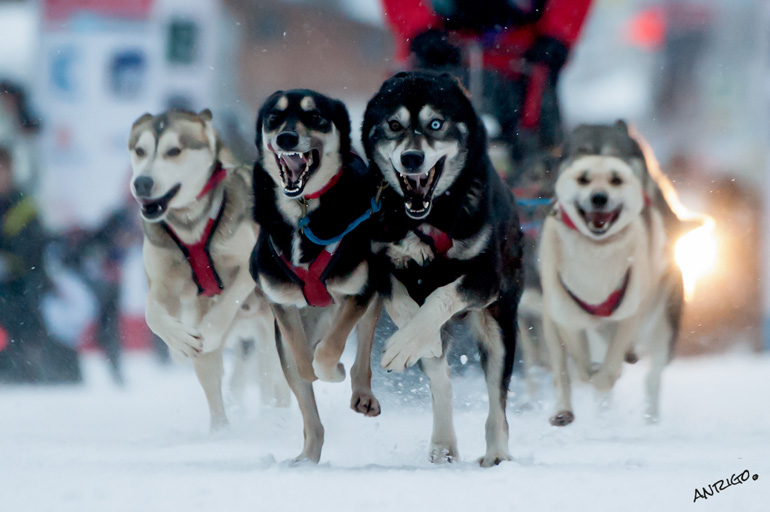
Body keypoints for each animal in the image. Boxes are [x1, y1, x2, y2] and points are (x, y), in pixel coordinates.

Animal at [130, 110, 280, 430]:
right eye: (140, 151)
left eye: (174, 151)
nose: (142, 183)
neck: (191, 227)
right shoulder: (162, 283)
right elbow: (152, 314)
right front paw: (178, 343)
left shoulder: (246, 270)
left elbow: (226, 304)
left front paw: (208, 333)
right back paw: (220, 431)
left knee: (277, 379)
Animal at [252, 91, 380, 464]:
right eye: (274, 117)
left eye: (316, 116)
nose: (286, 138)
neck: (304, 213)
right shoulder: (281, 303)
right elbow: (302, 361)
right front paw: (313, 367)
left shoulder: (361, 289)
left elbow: (328, 352)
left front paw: (333, 369)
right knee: (310, 413)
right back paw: (307, 458)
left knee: (361, 351)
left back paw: (360, 392)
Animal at [364, 72, 524, 468]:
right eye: (394, 125)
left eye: (435, 124)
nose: (412, 157)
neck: (428, 218)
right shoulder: (378, 263)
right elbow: (405, 307)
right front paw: (411, 339)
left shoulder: (484, 279)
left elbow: (442, 295)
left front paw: (409, 339)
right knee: (442, 383)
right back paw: (443, 444)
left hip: (499, 324)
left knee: (497, 401)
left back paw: (497, 453)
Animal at [536, 122, 684, 426]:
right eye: (581, 171)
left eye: (617, 175)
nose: (599, 197)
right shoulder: (564, 316)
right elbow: (577, 365)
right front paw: (588, 378)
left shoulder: (628, 314)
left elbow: (611, 364)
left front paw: (606, 374)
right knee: (565, 370)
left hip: (662, 326)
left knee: (651, 377)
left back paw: (650, 419)